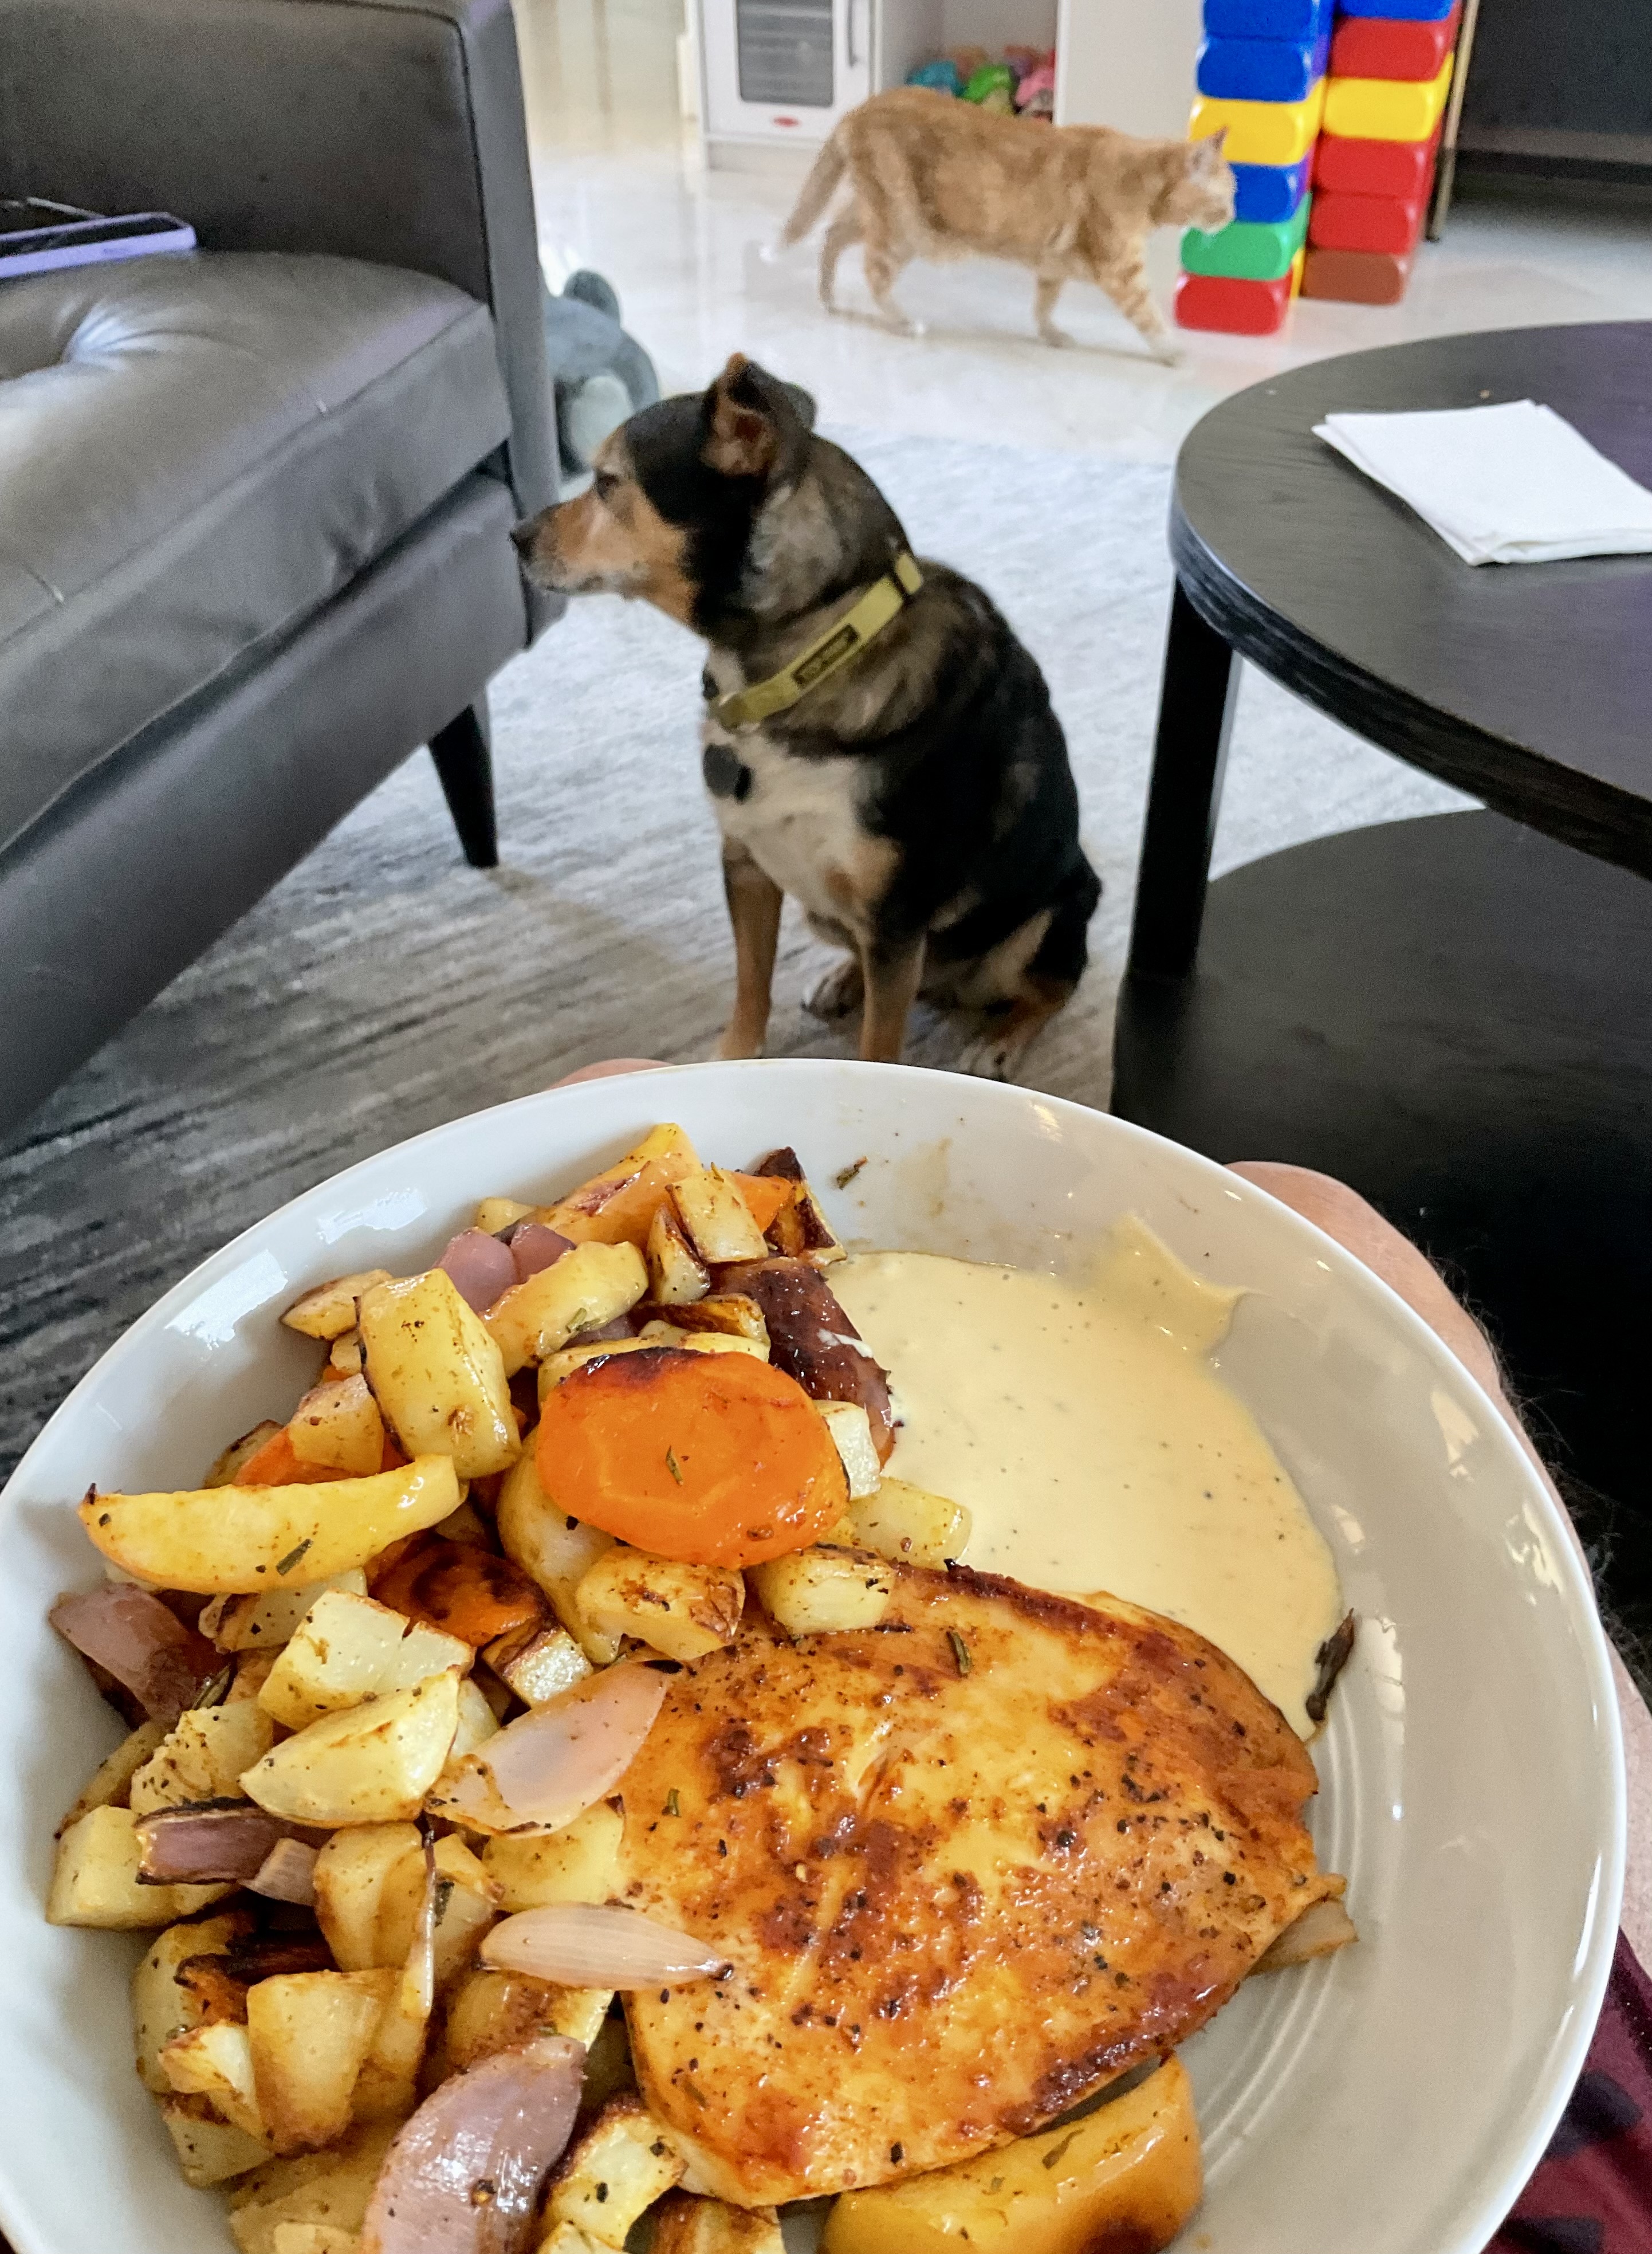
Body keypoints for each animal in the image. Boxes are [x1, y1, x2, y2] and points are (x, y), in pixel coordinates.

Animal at [511, 354, 1099, 1079]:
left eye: (605, 484)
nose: (515, 537)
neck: (804, 659)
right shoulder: (746, 864)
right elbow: (750, 981)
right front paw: (736, 1055)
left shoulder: (896, 919)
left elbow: (880, 1045)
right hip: (843, 920)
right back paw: (844, 981)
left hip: (1042, 921)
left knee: (1052, 987)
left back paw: (1000, 1039)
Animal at [776, 88, 1234, 364]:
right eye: (1226, 197)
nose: (1232, 216)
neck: (1137, 179)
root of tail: (859, 110)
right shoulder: (1123, 273)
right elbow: (1150, 318)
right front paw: (1173, 352)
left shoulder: (1052, 265)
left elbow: (1044, 306)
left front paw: (1051, 335)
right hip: (904, 228)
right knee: (874, 274)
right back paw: (902, 323)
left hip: (877, 214)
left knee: (831, 235)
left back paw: (830, 298)